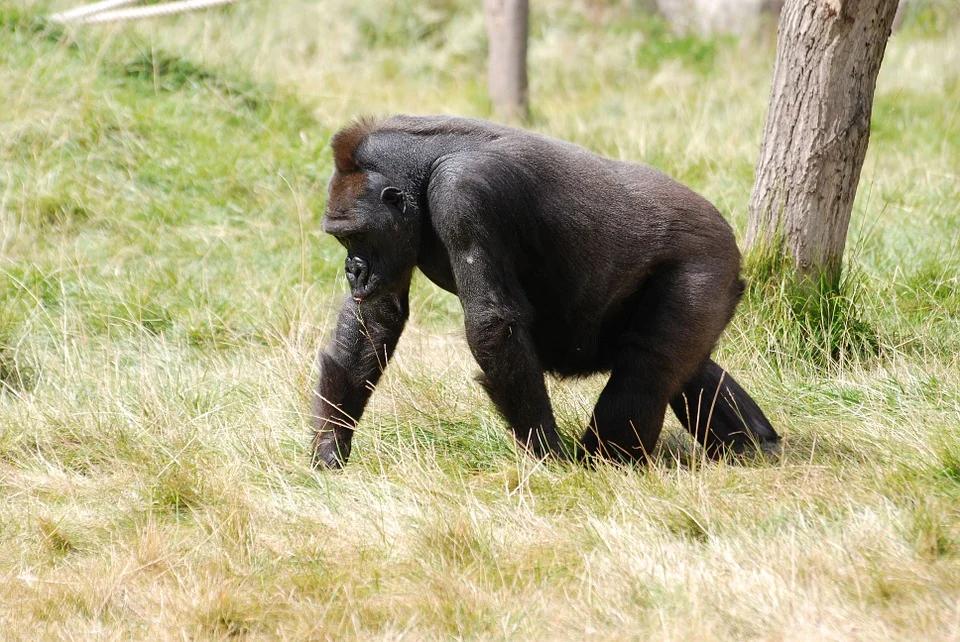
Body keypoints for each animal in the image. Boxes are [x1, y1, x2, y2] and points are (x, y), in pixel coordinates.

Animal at [312, 114, 776, 464]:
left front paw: (546, 453)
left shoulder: (464, 193)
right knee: (687, 366)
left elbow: (492, 325)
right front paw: (330, 446)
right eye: (342, 239)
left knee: (647, 367)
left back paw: (608, 462)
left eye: (356, 237)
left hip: (707, 260)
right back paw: (754, 444)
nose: (353, 271)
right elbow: (375, 316)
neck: (421, 168)